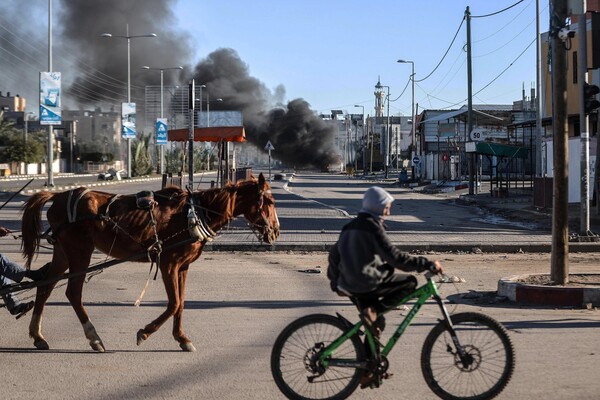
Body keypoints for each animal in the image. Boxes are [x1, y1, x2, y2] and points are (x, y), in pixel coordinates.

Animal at [20, 173, 278, 352]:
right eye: (269, 201)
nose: (275, 231)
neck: (192, 214)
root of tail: (58, 197)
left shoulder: (183, 267)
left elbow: (181, 303)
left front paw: (182, 338)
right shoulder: (168, 264)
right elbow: (174, 303)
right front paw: (145, 332)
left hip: (63, 253)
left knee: (45, 286)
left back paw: (38, 336)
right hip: (80, 252)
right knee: (73, 292)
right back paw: (93, 337)